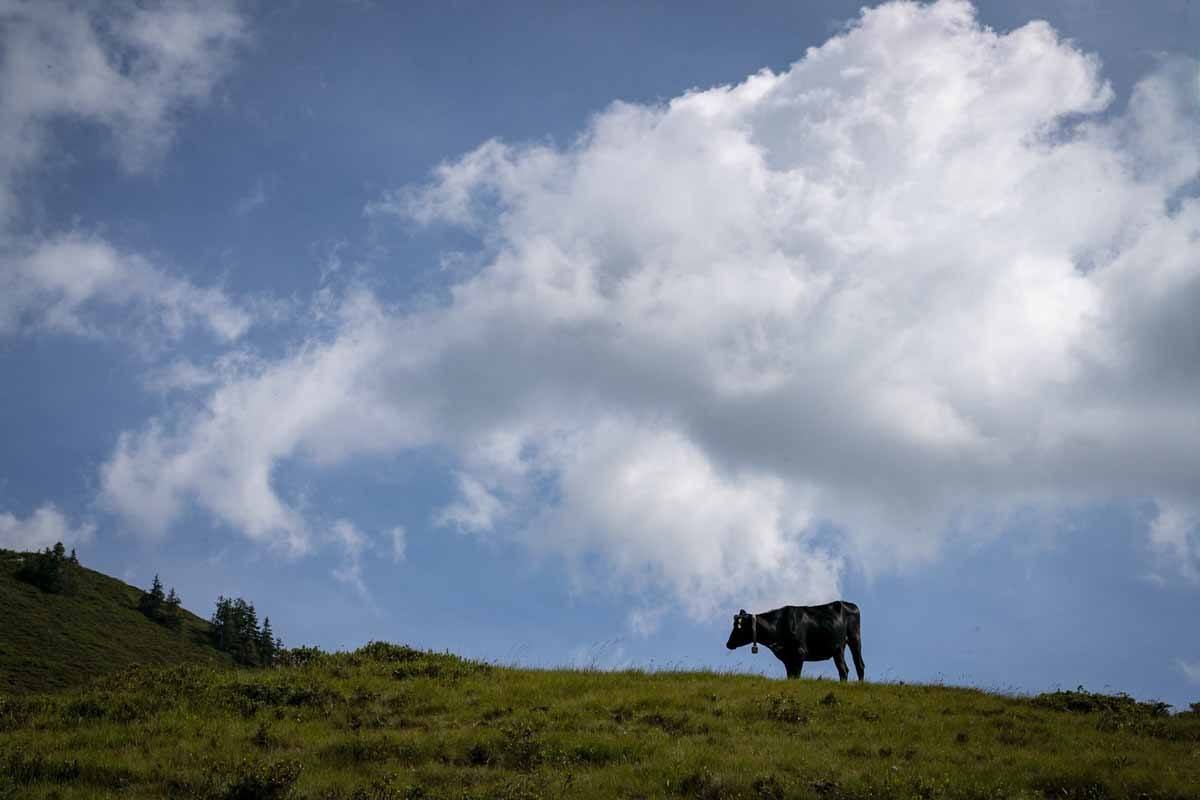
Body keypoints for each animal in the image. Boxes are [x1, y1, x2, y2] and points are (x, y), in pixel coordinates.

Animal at [720, 599, 864, 681]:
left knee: (858, 665)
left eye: (738, 627)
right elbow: (790, 677)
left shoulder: (799, 654)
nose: (728, 644)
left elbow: (796, 677)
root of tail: (849, 604)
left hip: (854, 639)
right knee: (844, 669)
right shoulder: (787, 658)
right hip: (838, 649)